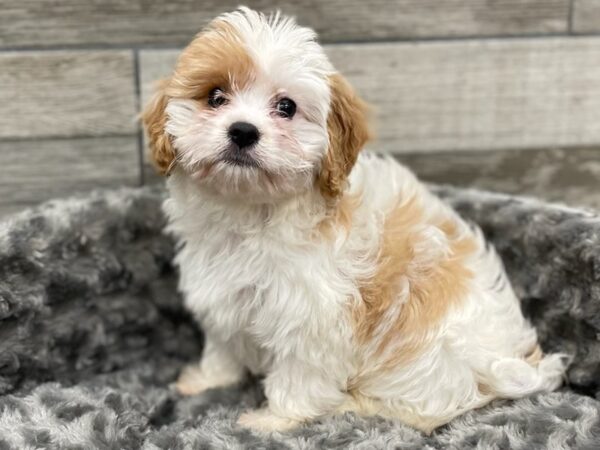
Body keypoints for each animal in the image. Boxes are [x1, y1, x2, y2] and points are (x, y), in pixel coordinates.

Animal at [142, 7, 568, 434]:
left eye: (286, 107)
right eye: (215, 97)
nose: (243, 131)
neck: (249, 209)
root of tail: (512, 366)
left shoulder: (312, 317)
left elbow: (298, 376)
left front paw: (273, 421)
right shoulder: (219, 293)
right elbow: (222, 347)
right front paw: (205, 380)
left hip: (425, 364)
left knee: (424, 411)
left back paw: (352, 404)